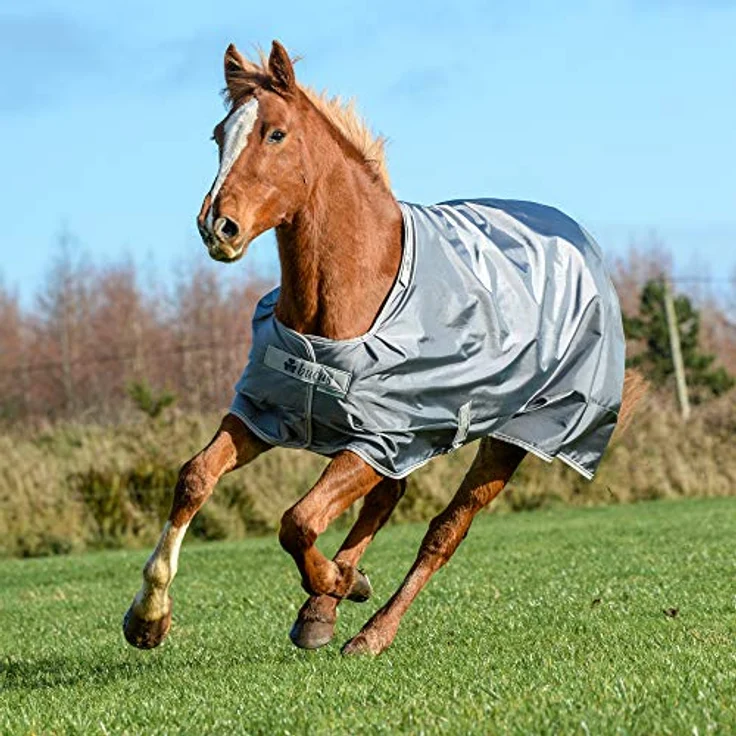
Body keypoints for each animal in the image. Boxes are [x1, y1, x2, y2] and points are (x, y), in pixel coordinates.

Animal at [123, 40, 644, 656]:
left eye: (275, 134)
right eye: (218, 134)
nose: (216, 227)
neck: (343, 303)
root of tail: (578, 239)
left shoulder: (377, 438)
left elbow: (298, 520)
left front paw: (339, 580)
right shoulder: (271, 414)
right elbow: (196, 477)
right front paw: (147, 618)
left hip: (508, 439)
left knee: (444, 531)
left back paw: (369, 630)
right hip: (411, 438)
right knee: (387, 498)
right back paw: (321, 611)